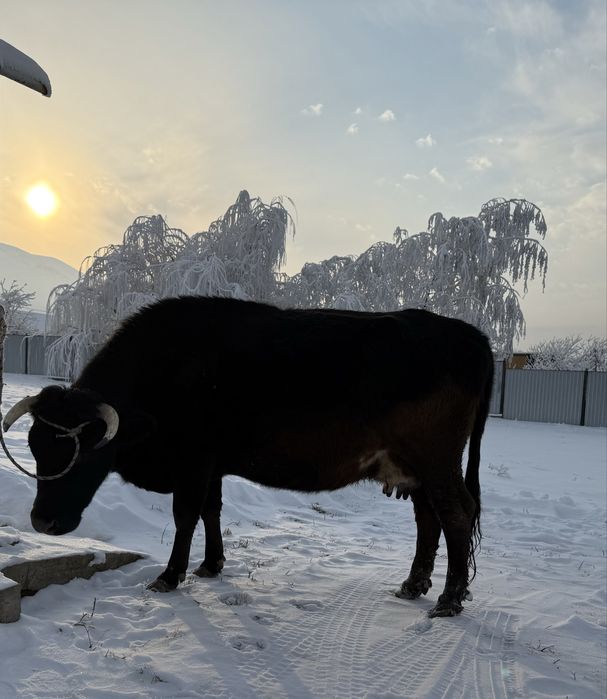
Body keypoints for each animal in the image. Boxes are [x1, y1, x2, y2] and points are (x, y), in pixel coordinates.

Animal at [3, 296, 494, 617]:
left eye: (88, 453)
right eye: (36, 446)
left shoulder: (194, 460)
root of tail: (468, 334)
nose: (43, 522)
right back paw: (413, 585)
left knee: (456, 513)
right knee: (429, 519)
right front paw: (210, 565)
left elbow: (186, 515)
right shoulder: (213, 466)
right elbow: (211, 510)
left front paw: (170, 576)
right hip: (413, 468)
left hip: (436, 460)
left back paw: (449, 600)